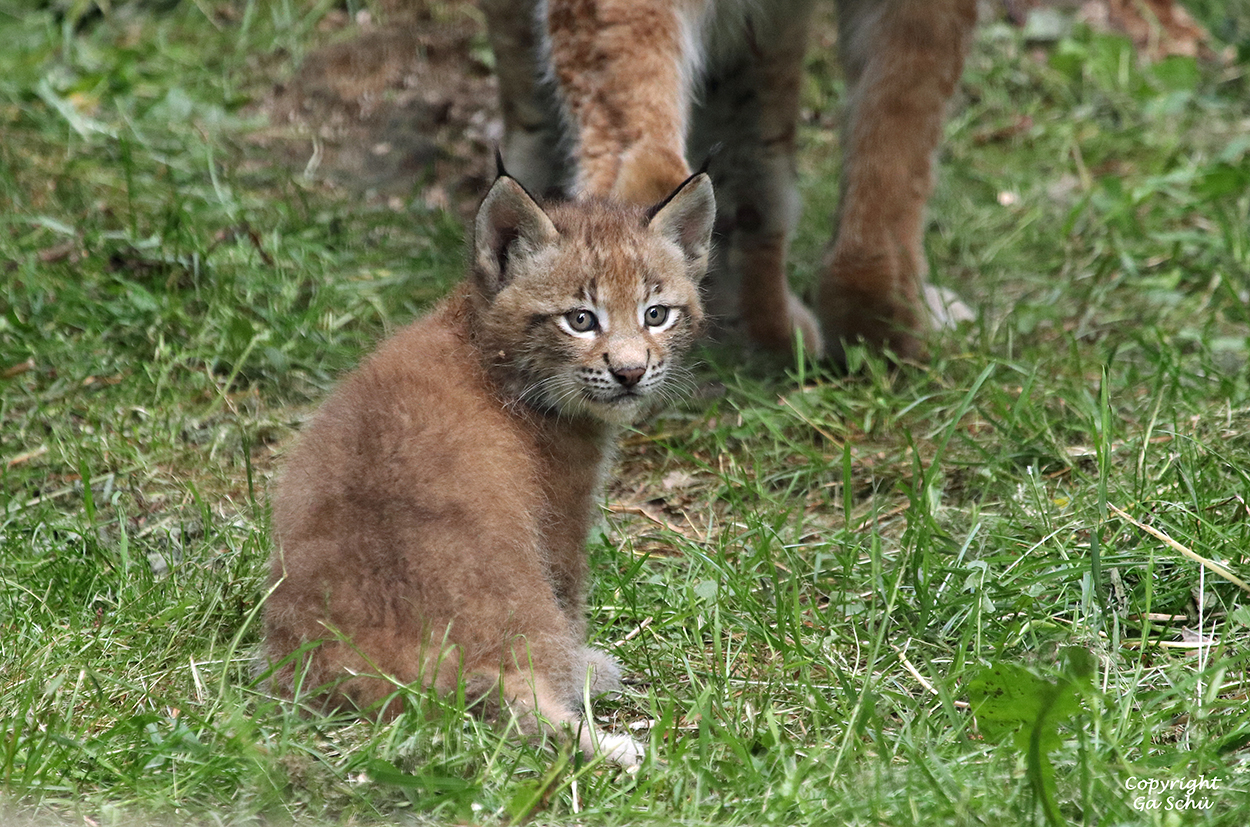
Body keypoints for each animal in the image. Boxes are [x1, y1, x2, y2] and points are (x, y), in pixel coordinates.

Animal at [263, 169, 715, 769]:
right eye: (580, 320)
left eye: (655, 314)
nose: (630, 372)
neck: (477, 339)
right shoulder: (562, 515)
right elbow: (571, 596)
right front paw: (586, 662)